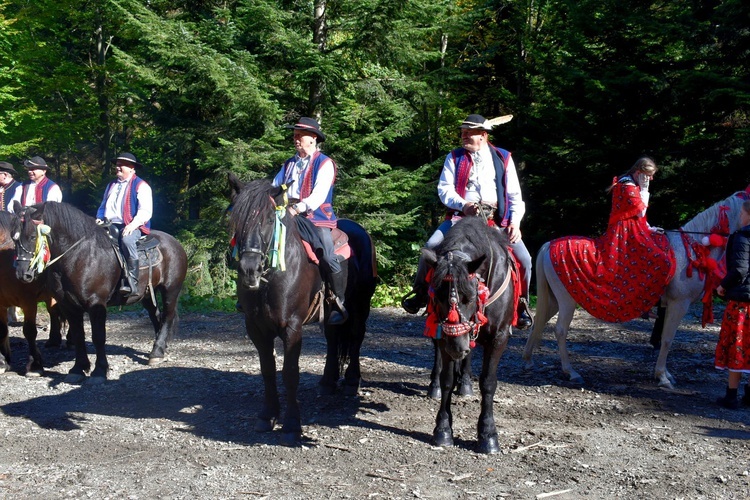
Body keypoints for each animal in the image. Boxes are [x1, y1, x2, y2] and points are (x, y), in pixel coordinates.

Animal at [0, 211, 65, 376]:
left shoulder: (28, 302)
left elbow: (29, 331)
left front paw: (34, 365)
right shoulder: (0, 304)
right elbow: (2, 330)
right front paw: (3, 362)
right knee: (53, 311)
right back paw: (53, 339)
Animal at [12, 201, 188, 380]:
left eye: (33, 237)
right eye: (14, 237)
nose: (22, 273)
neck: (78, 256)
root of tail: (174, 242)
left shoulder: (96, 303)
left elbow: (98, 336)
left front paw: (100, 370)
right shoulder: (68, 305)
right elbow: (78, 335)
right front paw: (78, 368)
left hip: (170, 290)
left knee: (167, 316)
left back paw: (157, 352)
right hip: (146, 295)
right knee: (155, 315)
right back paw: (160, 348)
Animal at [228, 176, 378, 446]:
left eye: (269, 220)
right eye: (238, 220)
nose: (249, 270)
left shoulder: (292, 327)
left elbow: (290, 374)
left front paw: (291, 425)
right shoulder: (256, 327)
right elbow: (268, 369)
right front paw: (267, 415)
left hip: (361, 304)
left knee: (356, 337)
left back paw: (352, 380)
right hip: (331, 313)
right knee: (332, 338)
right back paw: (328, 381)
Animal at [424, 215, 516, 454]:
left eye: (471, 296)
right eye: (437, 296)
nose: (457, 346)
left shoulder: (499, 337)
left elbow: (488, 382)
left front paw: (488, 434)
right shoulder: (445, 337)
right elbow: (446, 379)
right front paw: (443, 430)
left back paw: (464, 382)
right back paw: (436, 386)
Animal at [524, 188, 750, 386]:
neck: (694, 249)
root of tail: (549, 245)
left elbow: (664, 338)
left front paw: (665, 374)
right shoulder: (679, 304)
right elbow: (667, 339)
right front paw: (663, 377)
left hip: (554, 300)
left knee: (539, 322)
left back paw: (528, 360)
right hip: (567, 301)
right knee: (560, 330)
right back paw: (571, 372)